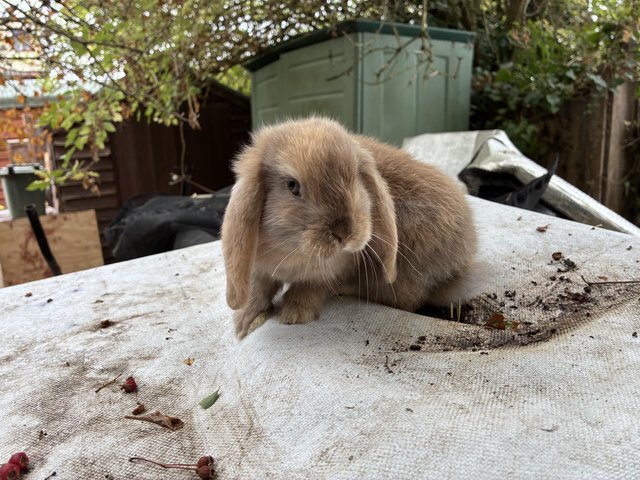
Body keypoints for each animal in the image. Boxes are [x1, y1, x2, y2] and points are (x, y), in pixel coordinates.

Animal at [221, 117, 477, 338]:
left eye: (355, 177)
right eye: (292, 185)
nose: (344, 234)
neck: (292, 252)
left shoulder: (328, 273)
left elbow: (309, 288)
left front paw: (295, 314)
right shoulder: (259, 270)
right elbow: (258, 291)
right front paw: (245, 322)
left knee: (406, 298)